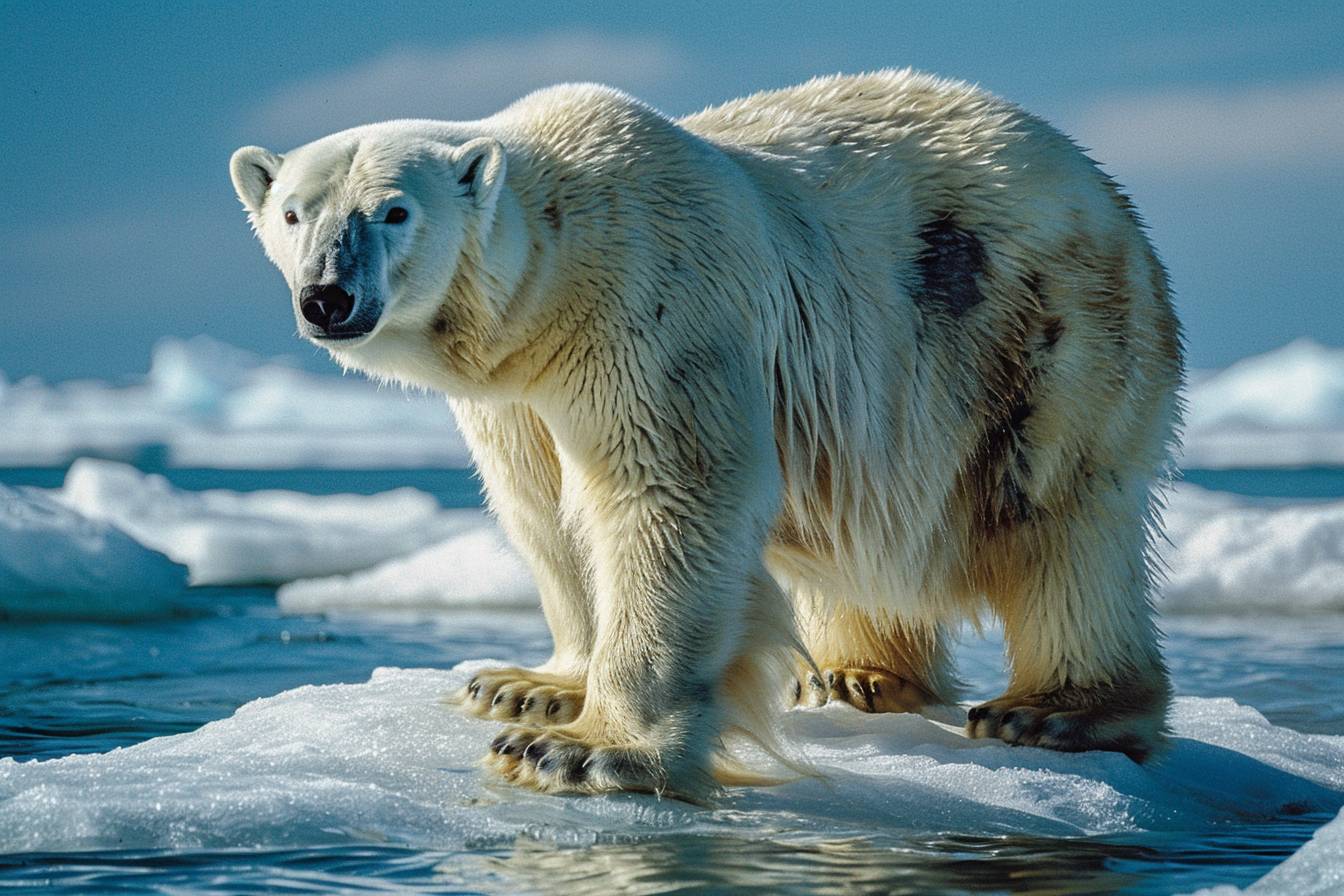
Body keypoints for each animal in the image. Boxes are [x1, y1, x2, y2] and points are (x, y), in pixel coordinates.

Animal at [233, 70, 1188, 800]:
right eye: (294, 213)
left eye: (394, 212)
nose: (327, 297)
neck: (553, 272)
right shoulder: (515, 396)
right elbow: (545, 514)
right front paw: (526, 688)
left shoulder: (648, 307)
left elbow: (667, 492)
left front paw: (580, 750)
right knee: (862, 521)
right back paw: (853, 673)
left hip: (1040, 330)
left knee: (1061, 521)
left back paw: (1053, 708)